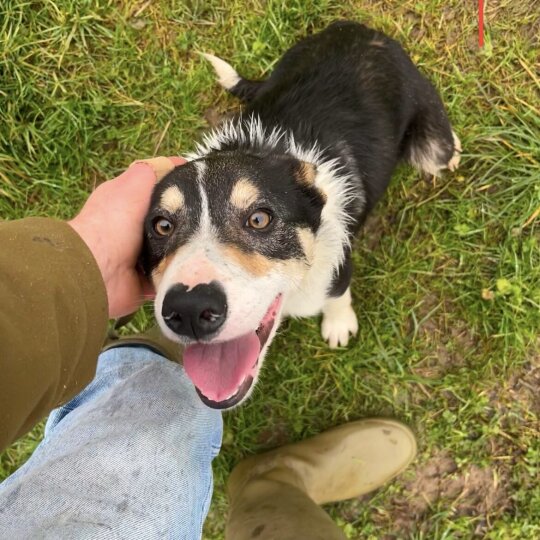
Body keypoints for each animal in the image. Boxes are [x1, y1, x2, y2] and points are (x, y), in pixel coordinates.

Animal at [140, 20, 460, 410]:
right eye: (162, 225)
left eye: (260, 219)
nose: (188, 310)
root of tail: (359, 28)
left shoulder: (337, 263)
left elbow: (338, 294)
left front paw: (338, 324)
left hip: (431, 143)